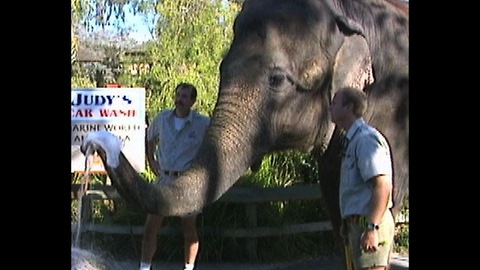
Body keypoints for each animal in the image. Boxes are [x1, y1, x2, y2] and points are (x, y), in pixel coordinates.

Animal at [79, 0, 408, 258]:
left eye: (277, 80)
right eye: (221, 68)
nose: (94, 143)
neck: (349, 11)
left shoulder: (391, 115)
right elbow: (334, 200)